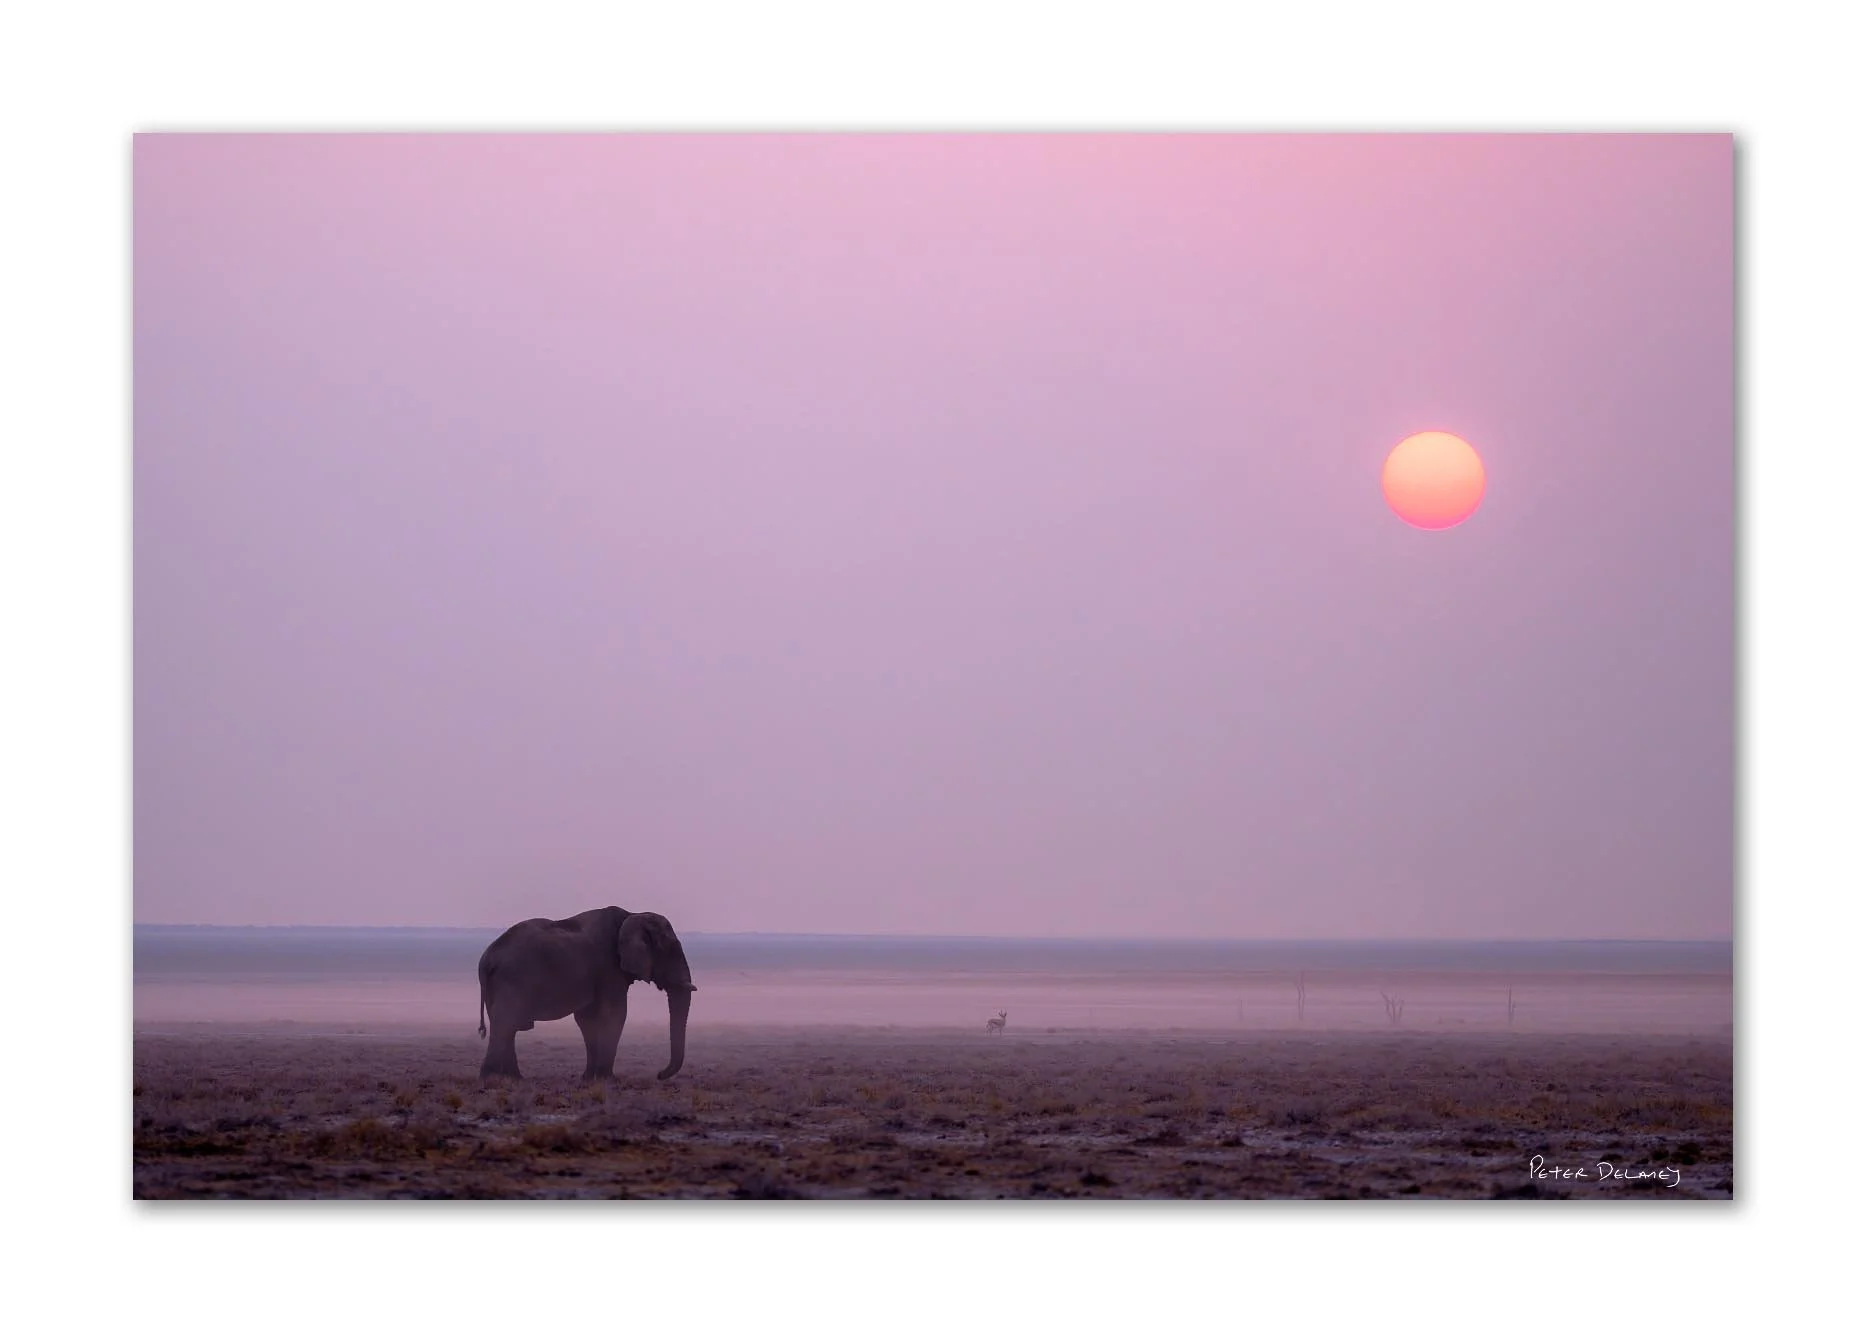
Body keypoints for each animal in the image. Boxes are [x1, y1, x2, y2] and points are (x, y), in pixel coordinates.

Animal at [476, 906, 696, 1081]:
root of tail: (487, 958)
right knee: (506, 1021)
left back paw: (514, 1078)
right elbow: (614, 1014)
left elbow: (587, 1019)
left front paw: (588, 1078)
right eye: (671, 950)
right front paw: (609, 1080)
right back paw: (491, 1078)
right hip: (513, 978)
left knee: (504, 1023)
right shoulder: (609, 967)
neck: (632, 914)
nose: (658, 1074)